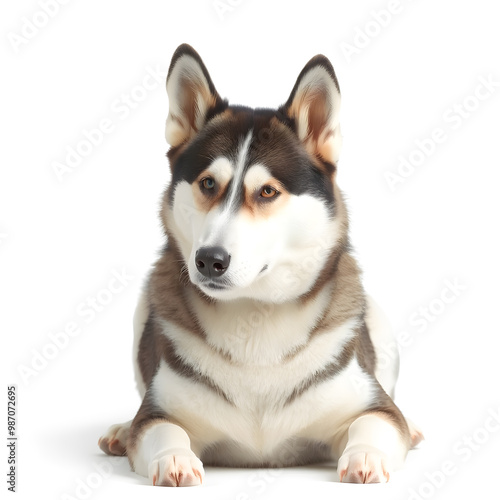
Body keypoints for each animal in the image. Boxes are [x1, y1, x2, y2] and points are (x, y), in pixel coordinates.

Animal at [97, 43, 422, 484]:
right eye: (207, 184)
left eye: (267, 191)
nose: (209, 260)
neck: (254, 317)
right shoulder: (159, 409)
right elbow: (162, 429)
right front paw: (172, 458)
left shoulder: (372, 404)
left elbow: (375, 422)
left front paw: (366, 456)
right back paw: (120, 429)